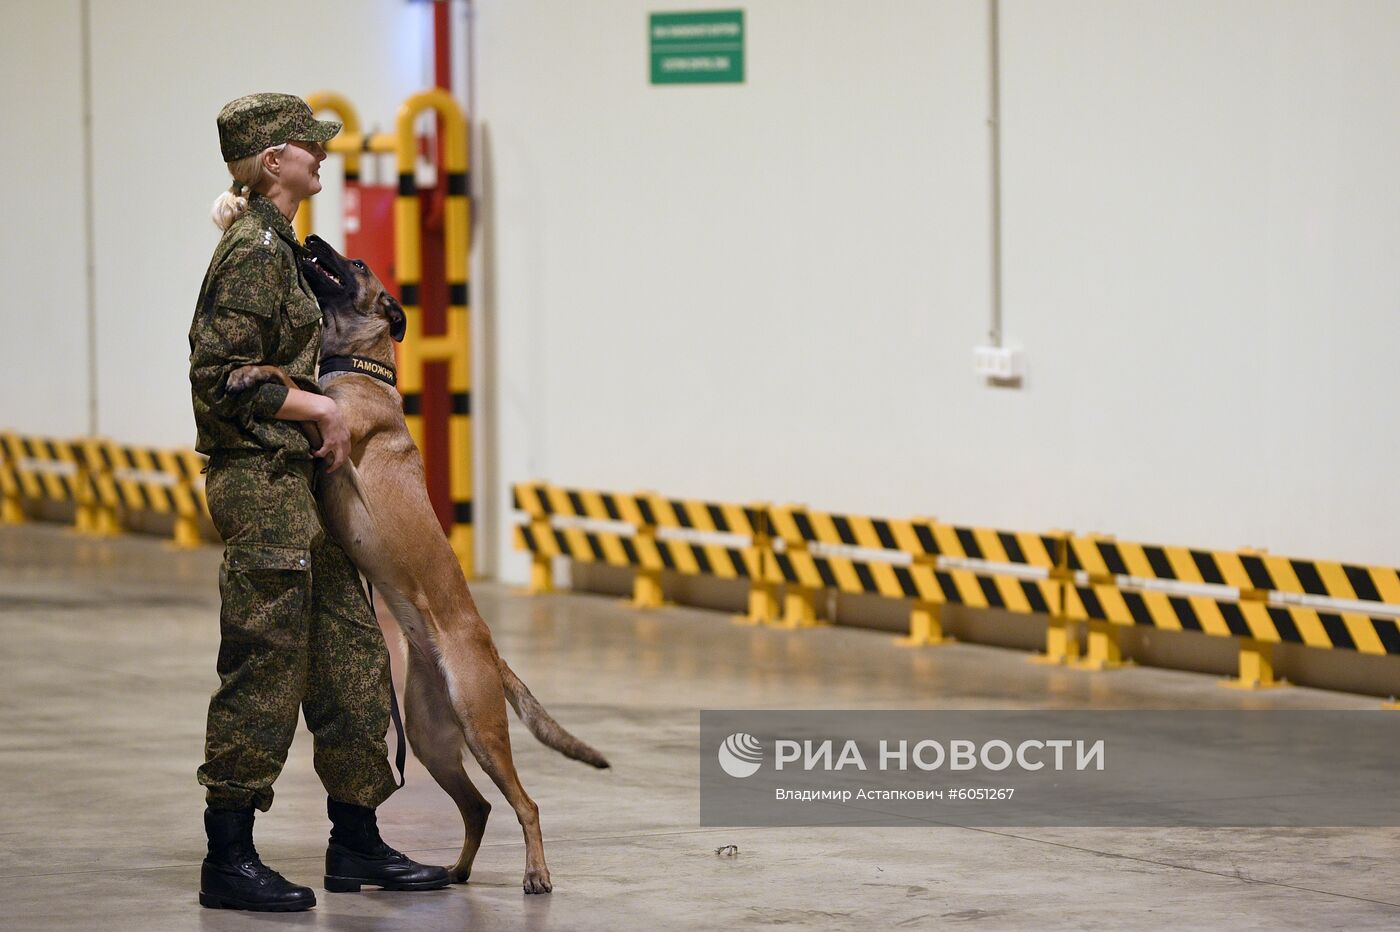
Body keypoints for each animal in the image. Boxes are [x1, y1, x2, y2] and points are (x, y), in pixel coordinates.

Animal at [229, 233, 607, 895]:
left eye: (356, 264)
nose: (313, 239)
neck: (361, 371)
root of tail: (490, 652)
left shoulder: (331, 435)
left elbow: (289, 377)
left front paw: (251, 371)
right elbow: (295, 377)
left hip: (482, 728)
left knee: (524, 804)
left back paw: (535, 875)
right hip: (432, 739)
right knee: (479, 807)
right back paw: (450, 871)